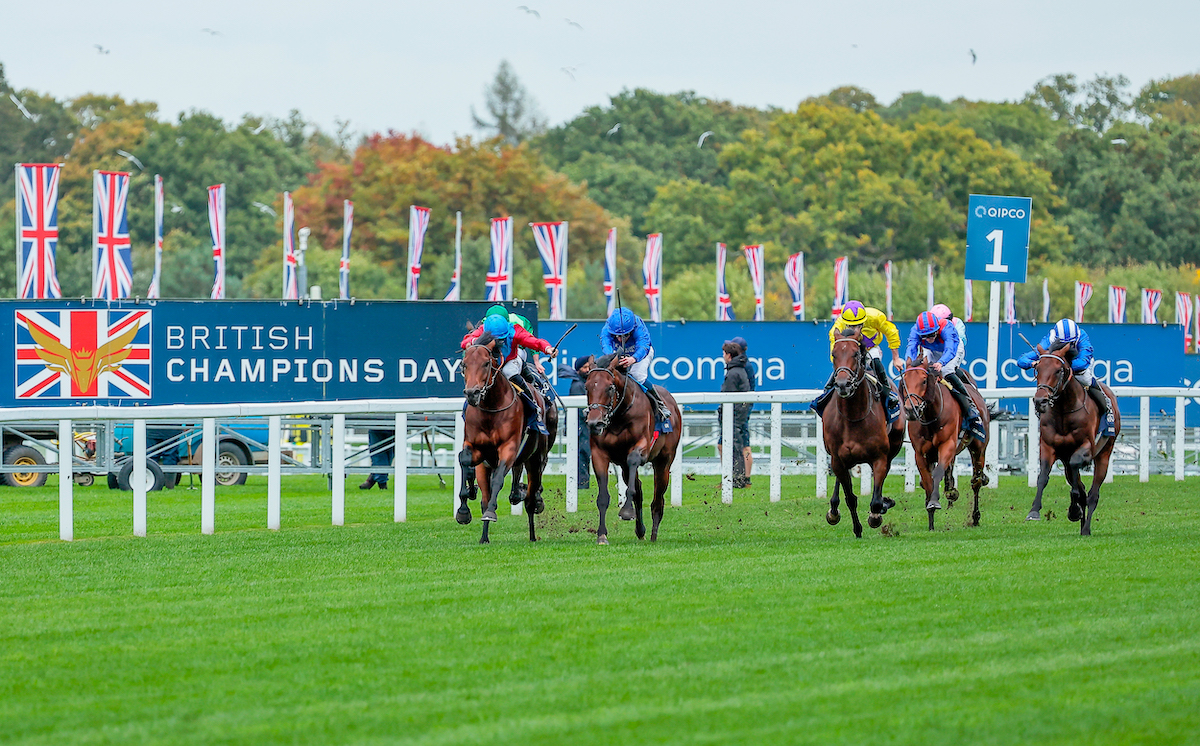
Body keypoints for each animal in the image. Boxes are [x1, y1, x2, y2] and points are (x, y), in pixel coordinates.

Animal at [456, 338, 559, 544]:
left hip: (536, 459)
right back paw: (485, 535)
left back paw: (532, 532)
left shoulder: (509, 449)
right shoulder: (477, 449)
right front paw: (464, 509)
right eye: (464, 364)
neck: (490, 410)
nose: (472, 393)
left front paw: (491, 512)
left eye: (486, 363)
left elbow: (498, 480)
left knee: (530, 498)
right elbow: (465, 460)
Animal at [583, 352, 681, 546]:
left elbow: (634, 464)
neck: (618, 417)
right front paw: (602, 535)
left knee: (658, 499)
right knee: (639, 491)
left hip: (664, 461)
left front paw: (627, 511)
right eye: (587, 387)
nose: (595, 423)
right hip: (624, 467)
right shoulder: (599, 454)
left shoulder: (641, 448)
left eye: (610, 388)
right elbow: (604, 497)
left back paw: (653, 535)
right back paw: (641, 530)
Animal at [820, 331, 902, 537]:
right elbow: (850, 497)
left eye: (856, 354)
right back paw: (833, 510)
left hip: (893, 448)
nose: (842, 384)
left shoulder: (879, 457)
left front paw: (877, 513)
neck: (853, 416)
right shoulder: (837, 459)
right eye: (834, 354)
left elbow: (876, 500)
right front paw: (857, 529)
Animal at [902, 362, 993, 532]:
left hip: (978, 449)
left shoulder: (947, 446)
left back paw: (975, 516)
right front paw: (931, 518)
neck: (930, 418)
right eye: (904, 380)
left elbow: (938, 473)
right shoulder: (921, 454)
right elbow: (927, 481)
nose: (911, 410)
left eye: (924, 381)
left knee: (976, 481)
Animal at [1027, 347, 1118, 534]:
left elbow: (1077, 468)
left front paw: (1075, 509)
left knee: (1093, 494)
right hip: (1066, 460)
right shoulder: (1048, 446)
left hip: (1104, 454)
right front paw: (1034, 511)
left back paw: (1086, 528)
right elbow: (1043, 476)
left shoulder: (1087, 446)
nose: (1040, 401)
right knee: (1080, 485)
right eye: (1037, 369)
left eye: (1058, 370)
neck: (1064, 410)